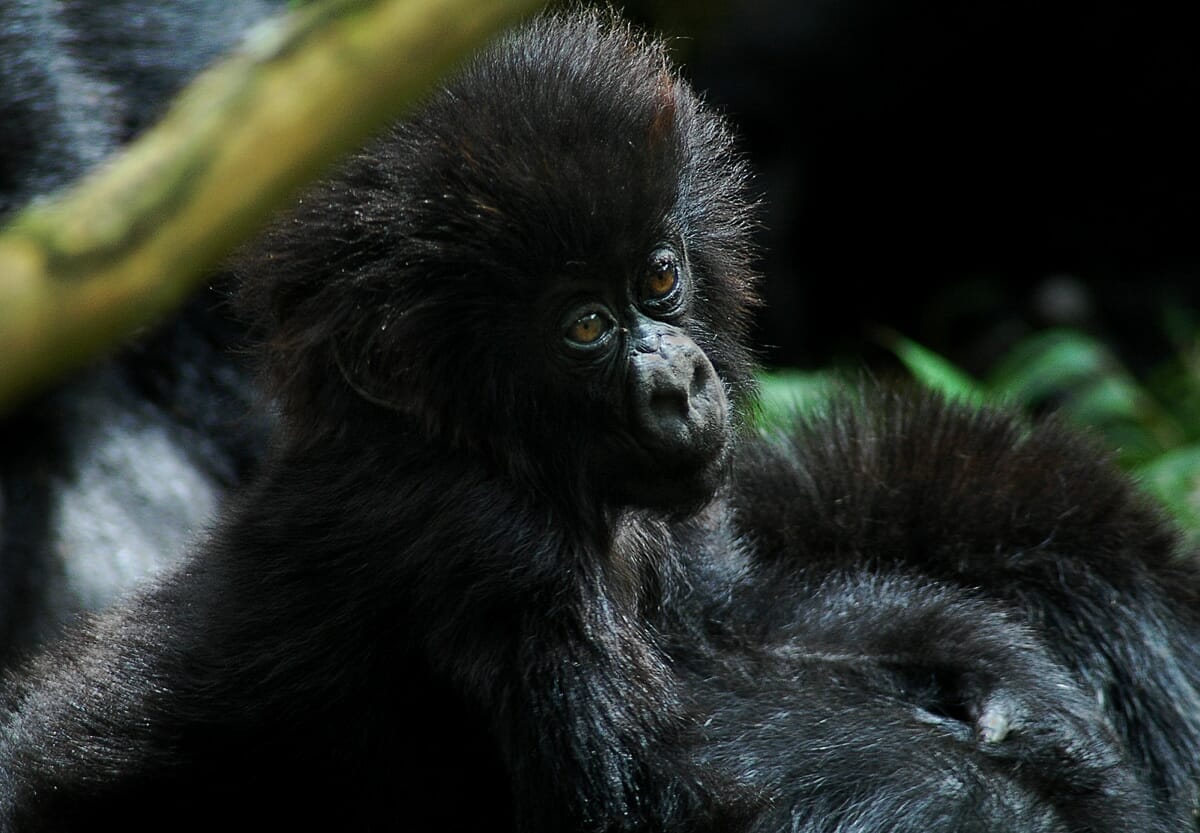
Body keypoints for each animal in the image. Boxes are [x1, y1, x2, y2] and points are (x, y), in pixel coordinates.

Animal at [2, 7, 1199, 832]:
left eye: (658, 277)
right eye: (583, 327)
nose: (678, 381)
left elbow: (747, 619)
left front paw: (1003, 672)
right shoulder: (488, 542)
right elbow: (634, 801)